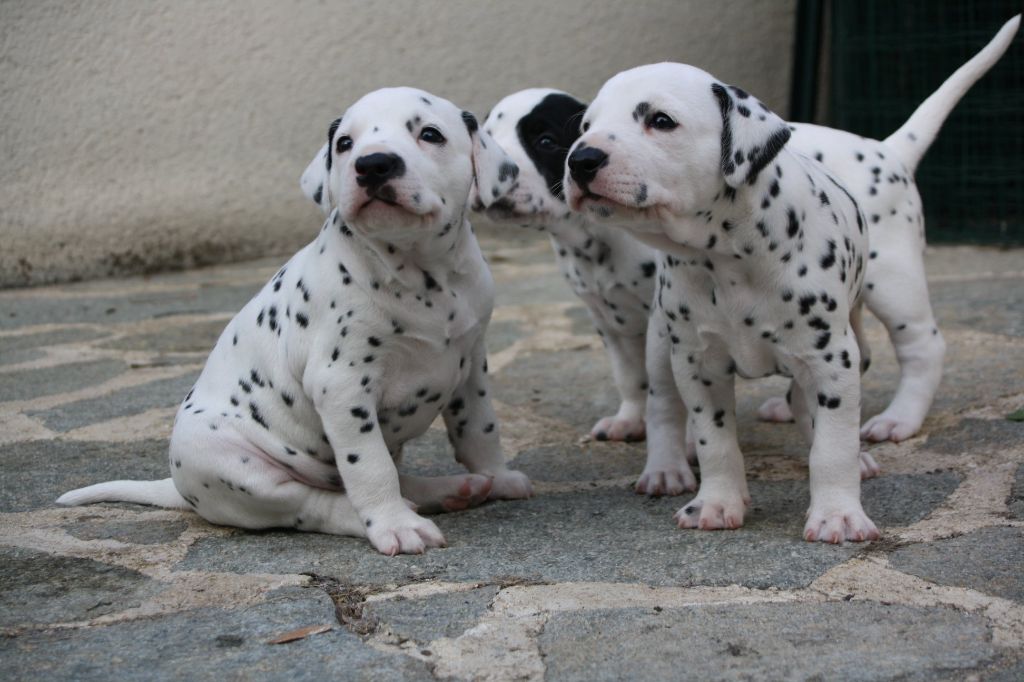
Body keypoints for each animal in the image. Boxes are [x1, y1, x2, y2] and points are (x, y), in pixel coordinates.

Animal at [58, 86, 532, 552]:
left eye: (430, 134)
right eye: (345, 144)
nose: (373, 164)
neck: (422, 273)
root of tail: (181, 489)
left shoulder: (471, 365)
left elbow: (480, 427)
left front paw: (497, 475)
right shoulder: (342, 384)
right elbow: (369, 465)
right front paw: (395, 525)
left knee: (388, 478)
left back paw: (449, 489)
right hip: (231, 462)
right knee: (314, 503)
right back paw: (391, 513)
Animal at [477, 90, 696, 493]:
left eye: (546, 141)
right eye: (486, 138)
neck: (595, 236)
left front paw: (686, 441)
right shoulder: (607, 320)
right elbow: (631, 376)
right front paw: (629, 420)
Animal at [565, 63, 876, 540]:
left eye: (660, 120)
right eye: (585, 126)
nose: (580, 159)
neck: (727, 258)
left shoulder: (831, 360)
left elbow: (833, 443)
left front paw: (837, 514)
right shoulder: (699, 364)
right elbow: (715, 441)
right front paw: (716, 502)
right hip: (662, 347)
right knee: (662, 408)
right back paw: (665, 469)